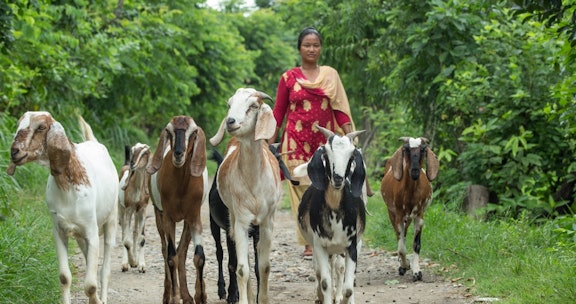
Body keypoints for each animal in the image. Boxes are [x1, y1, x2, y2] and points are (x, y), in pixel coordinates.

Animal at [6, 111, 118, 304]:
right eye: (19, 124)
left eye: (41, 127)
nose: (15, 152)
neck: (68, 189)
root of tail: (95, 143)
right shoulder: (59, 231)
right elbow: (65, 278)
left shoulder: (91, 231)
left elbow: (90, 285)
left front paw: (96, 298)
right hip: (80, 236)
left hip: (111, 220)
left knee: (105, 269)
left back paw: (102, 297)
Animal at [117, 142, 151, 274]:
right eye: (133, 150)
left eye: (145, 153)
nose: (132, 162)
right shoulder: (128, 209)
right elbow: (126, 241)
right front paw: (130, 262)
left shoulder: (142, 210)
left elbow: (141, 238)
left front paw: (141, 265)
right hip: (121, 209)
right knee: (123, 234)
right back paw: (126, 263)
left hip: (136, 214)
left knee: (135, 232)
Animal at [212, 87, 284, 304]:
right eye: (229, 104)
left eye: (253, 106)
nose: (231, 121)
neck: (254, 183)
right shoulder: (242, 221)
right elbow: (243, 269)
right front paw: (245, 299)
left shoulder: (267, 223)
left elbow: (264, 267)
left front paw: (264, 299)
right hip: (232, 220)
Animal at [296, 124, 364, 304]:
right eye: (326, 153)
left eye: (351, 155)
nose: (338, 178)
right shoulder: (320, 246)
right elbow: (325, 281)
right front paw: (324, 296)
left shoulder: (351, 246)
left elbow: (348, 287)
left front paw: (344, 298)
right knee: (320, 272)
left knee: (338, 268)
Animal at [380, 137, 438, 282]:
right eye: (406, 149)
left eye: (422, 149)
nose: (415, 171)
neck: (410, 194)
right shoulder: (398, 215)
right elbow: (401, 247)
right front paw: (405, 266)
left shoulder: (419, 215)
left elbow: (416, 245)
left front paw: (417, 272)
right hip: (392, 213)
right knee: (399, 236)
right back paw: (402, 265)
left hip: (409, 217)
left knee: (405, 234)